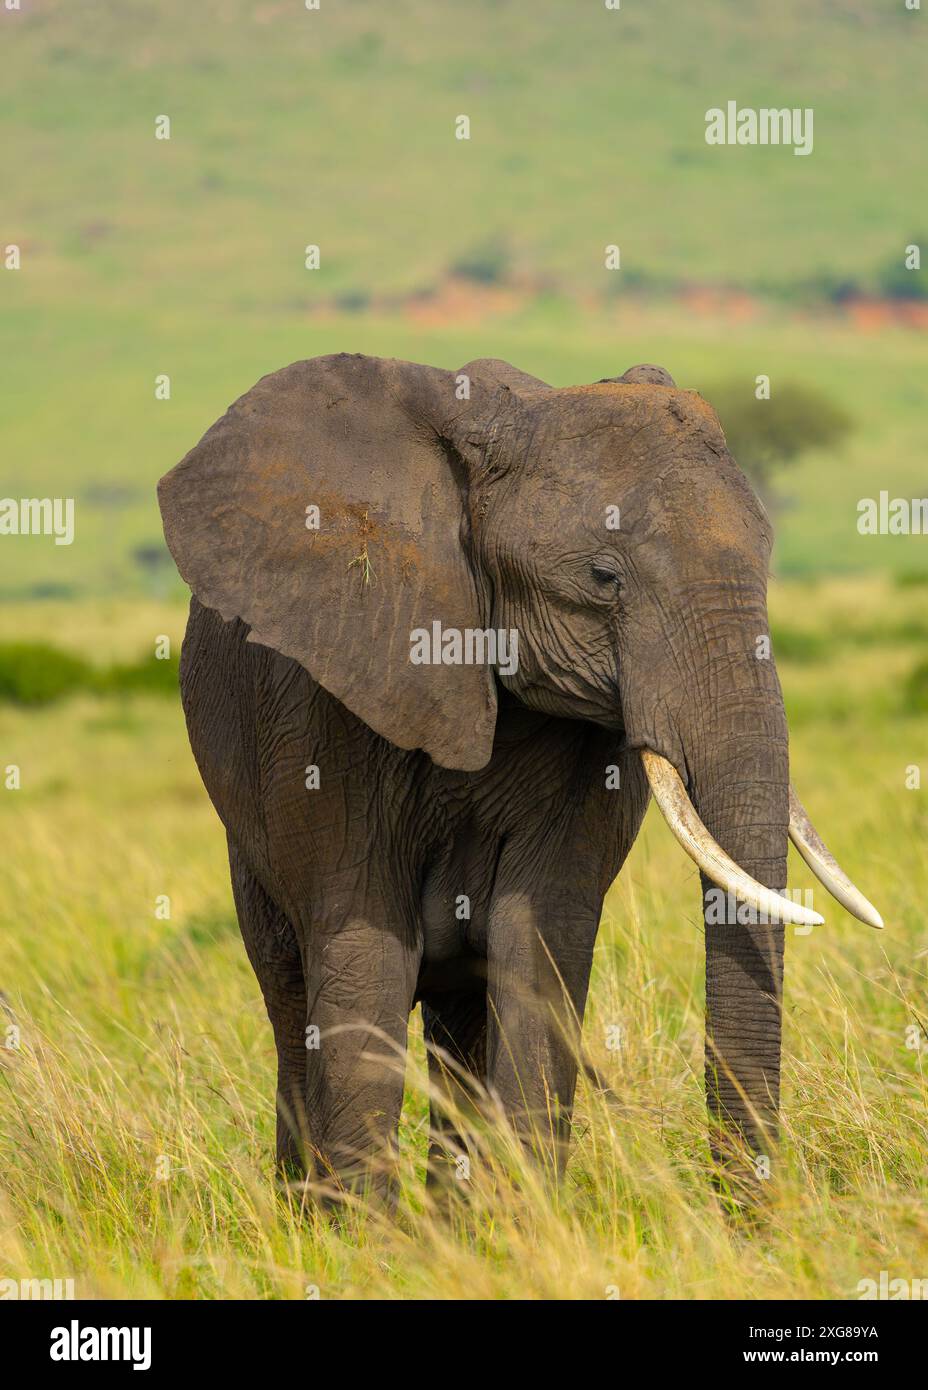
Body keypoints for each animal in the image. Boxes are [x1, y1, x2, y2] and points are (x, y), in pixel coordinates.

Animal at [157, 350, 877, 1206]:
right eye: (603, 577)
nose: (750, 1224)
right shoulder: (326, 706)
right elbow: (363, 958)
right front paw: (363, 1235)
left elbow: (538, 950)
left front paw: (523, 1221)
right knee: (289, 992)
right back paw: (308, 1208)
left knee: (460, 1023)